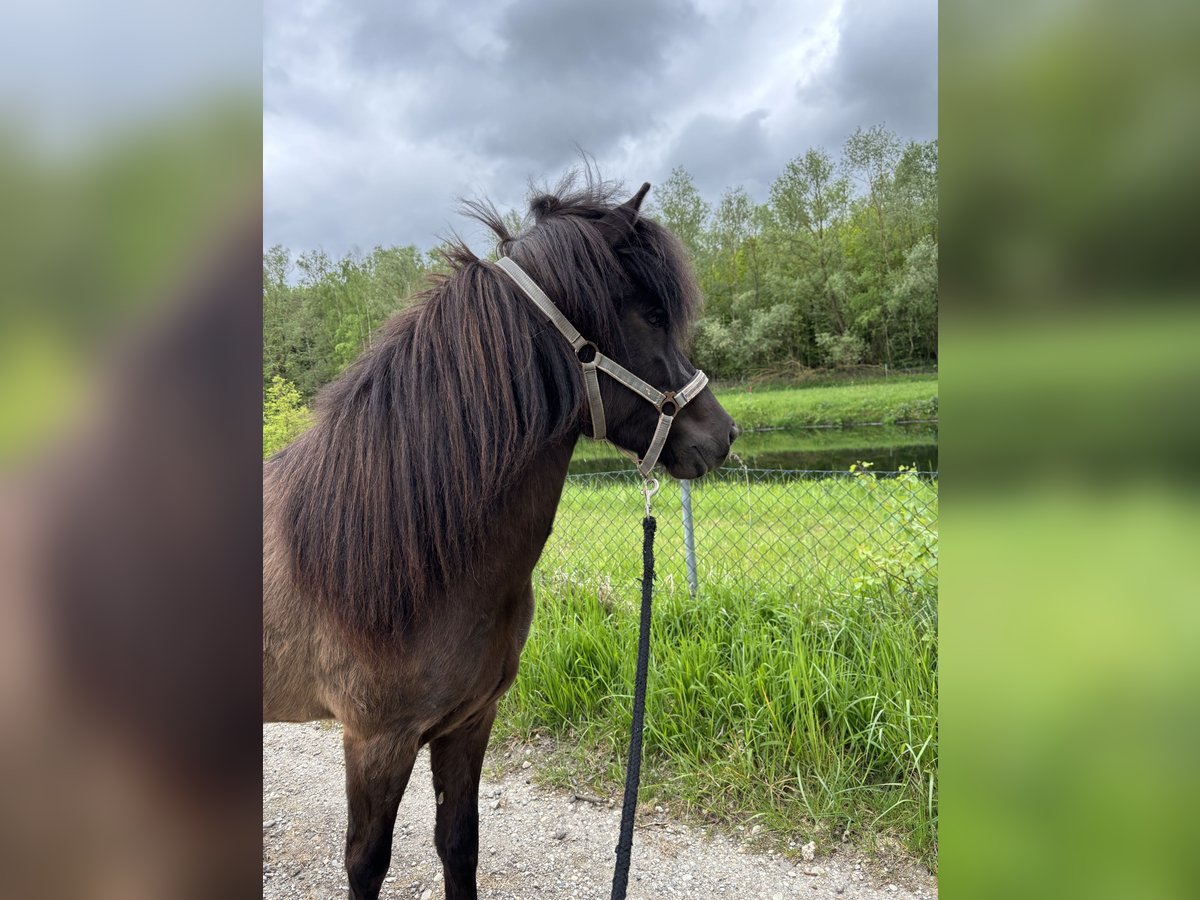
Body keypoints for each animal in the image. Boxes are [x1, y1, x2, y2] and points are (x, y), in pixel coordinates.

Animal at [262, 176, 739, 900]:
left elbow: (459, 845)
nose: (722, 435)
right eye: (651, 316)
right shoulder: (375, 742)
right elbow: (366, 865)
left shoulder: (469, 723)